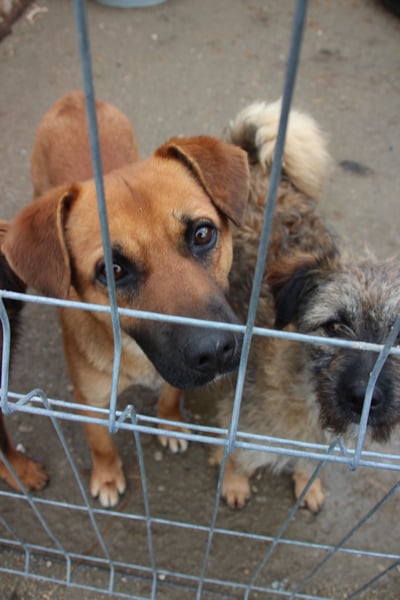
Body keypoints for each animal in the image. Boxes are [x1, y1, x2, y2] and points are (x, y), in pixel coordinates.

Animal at [3, 91, 249, 507]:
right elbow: (101, 444)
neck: (133, 352)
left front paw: (170, 423)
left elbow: (171, 396)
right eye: (113, 270)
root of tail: (73, 99)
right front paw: (107, 476)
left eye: (202, 234)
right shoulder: (88, 401)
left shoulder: (172, 372)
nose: (216, 351)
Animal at [211, 100, 400, 512]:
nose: (364, 399)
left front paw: (307, 485)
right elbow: (238, 454)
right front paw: (233, 482)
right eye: (333, 326)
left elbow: (308, 461)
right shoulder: (245, 417)